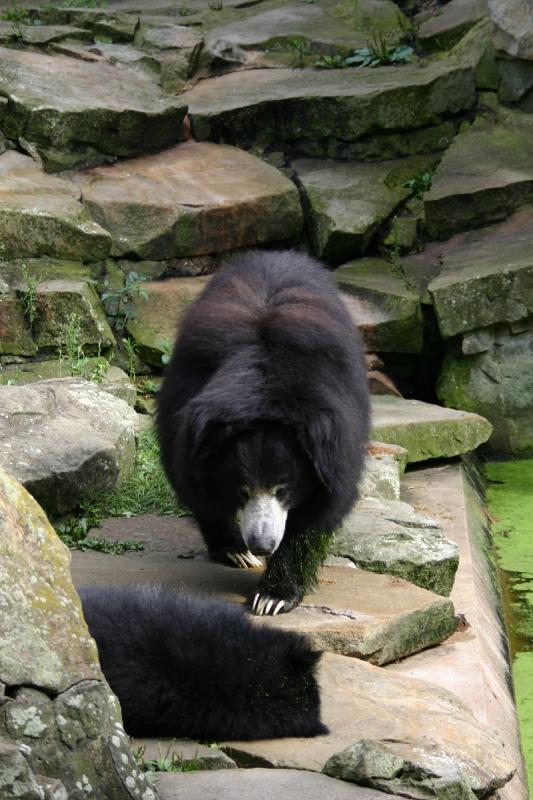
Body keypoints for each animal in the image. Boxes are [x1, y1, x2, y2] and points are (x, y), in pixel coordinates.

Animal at [156, 253, 368, 616]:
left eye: (283, 490)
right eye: (240, 489)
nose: (262, 545)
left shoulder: (337, 436)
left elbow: (317, 512)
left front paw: (273, 597)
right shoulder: (186, 419)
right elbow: (194, 485)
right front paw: (236, 551)